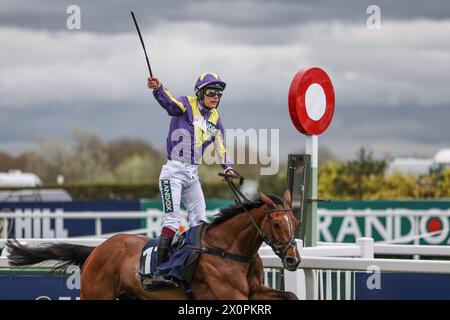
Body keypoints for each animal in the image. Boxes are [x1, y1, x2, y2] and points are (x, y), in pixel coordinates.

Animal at [5, 189, 300, 298]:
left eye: (295, 221)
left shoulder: (255, 290)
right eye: (277, 224)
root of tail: (96, 249)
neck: (228, 248)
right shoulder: (231, 295)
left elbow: (290, 295)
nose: (293, 259)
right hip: (96, 294)